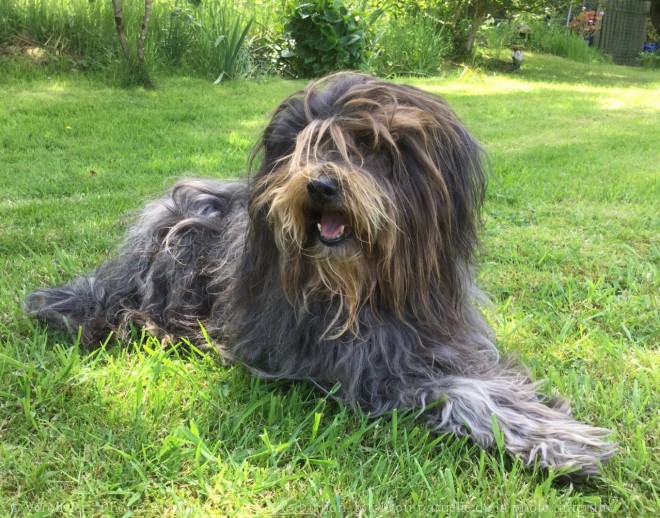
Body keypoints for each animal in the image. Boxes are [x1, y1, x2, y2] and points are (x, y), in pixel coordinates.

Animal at [25, 73, 612, 480]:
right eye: (301, 147)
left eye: (371, 147)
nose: (321, 185)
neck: (363, 289)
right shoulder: (358, 371)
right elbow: (459, 391)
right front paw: (559, 440)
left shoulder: (441, 336)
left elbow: (487, 378)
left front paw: (547, 426)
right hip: (178, 244)